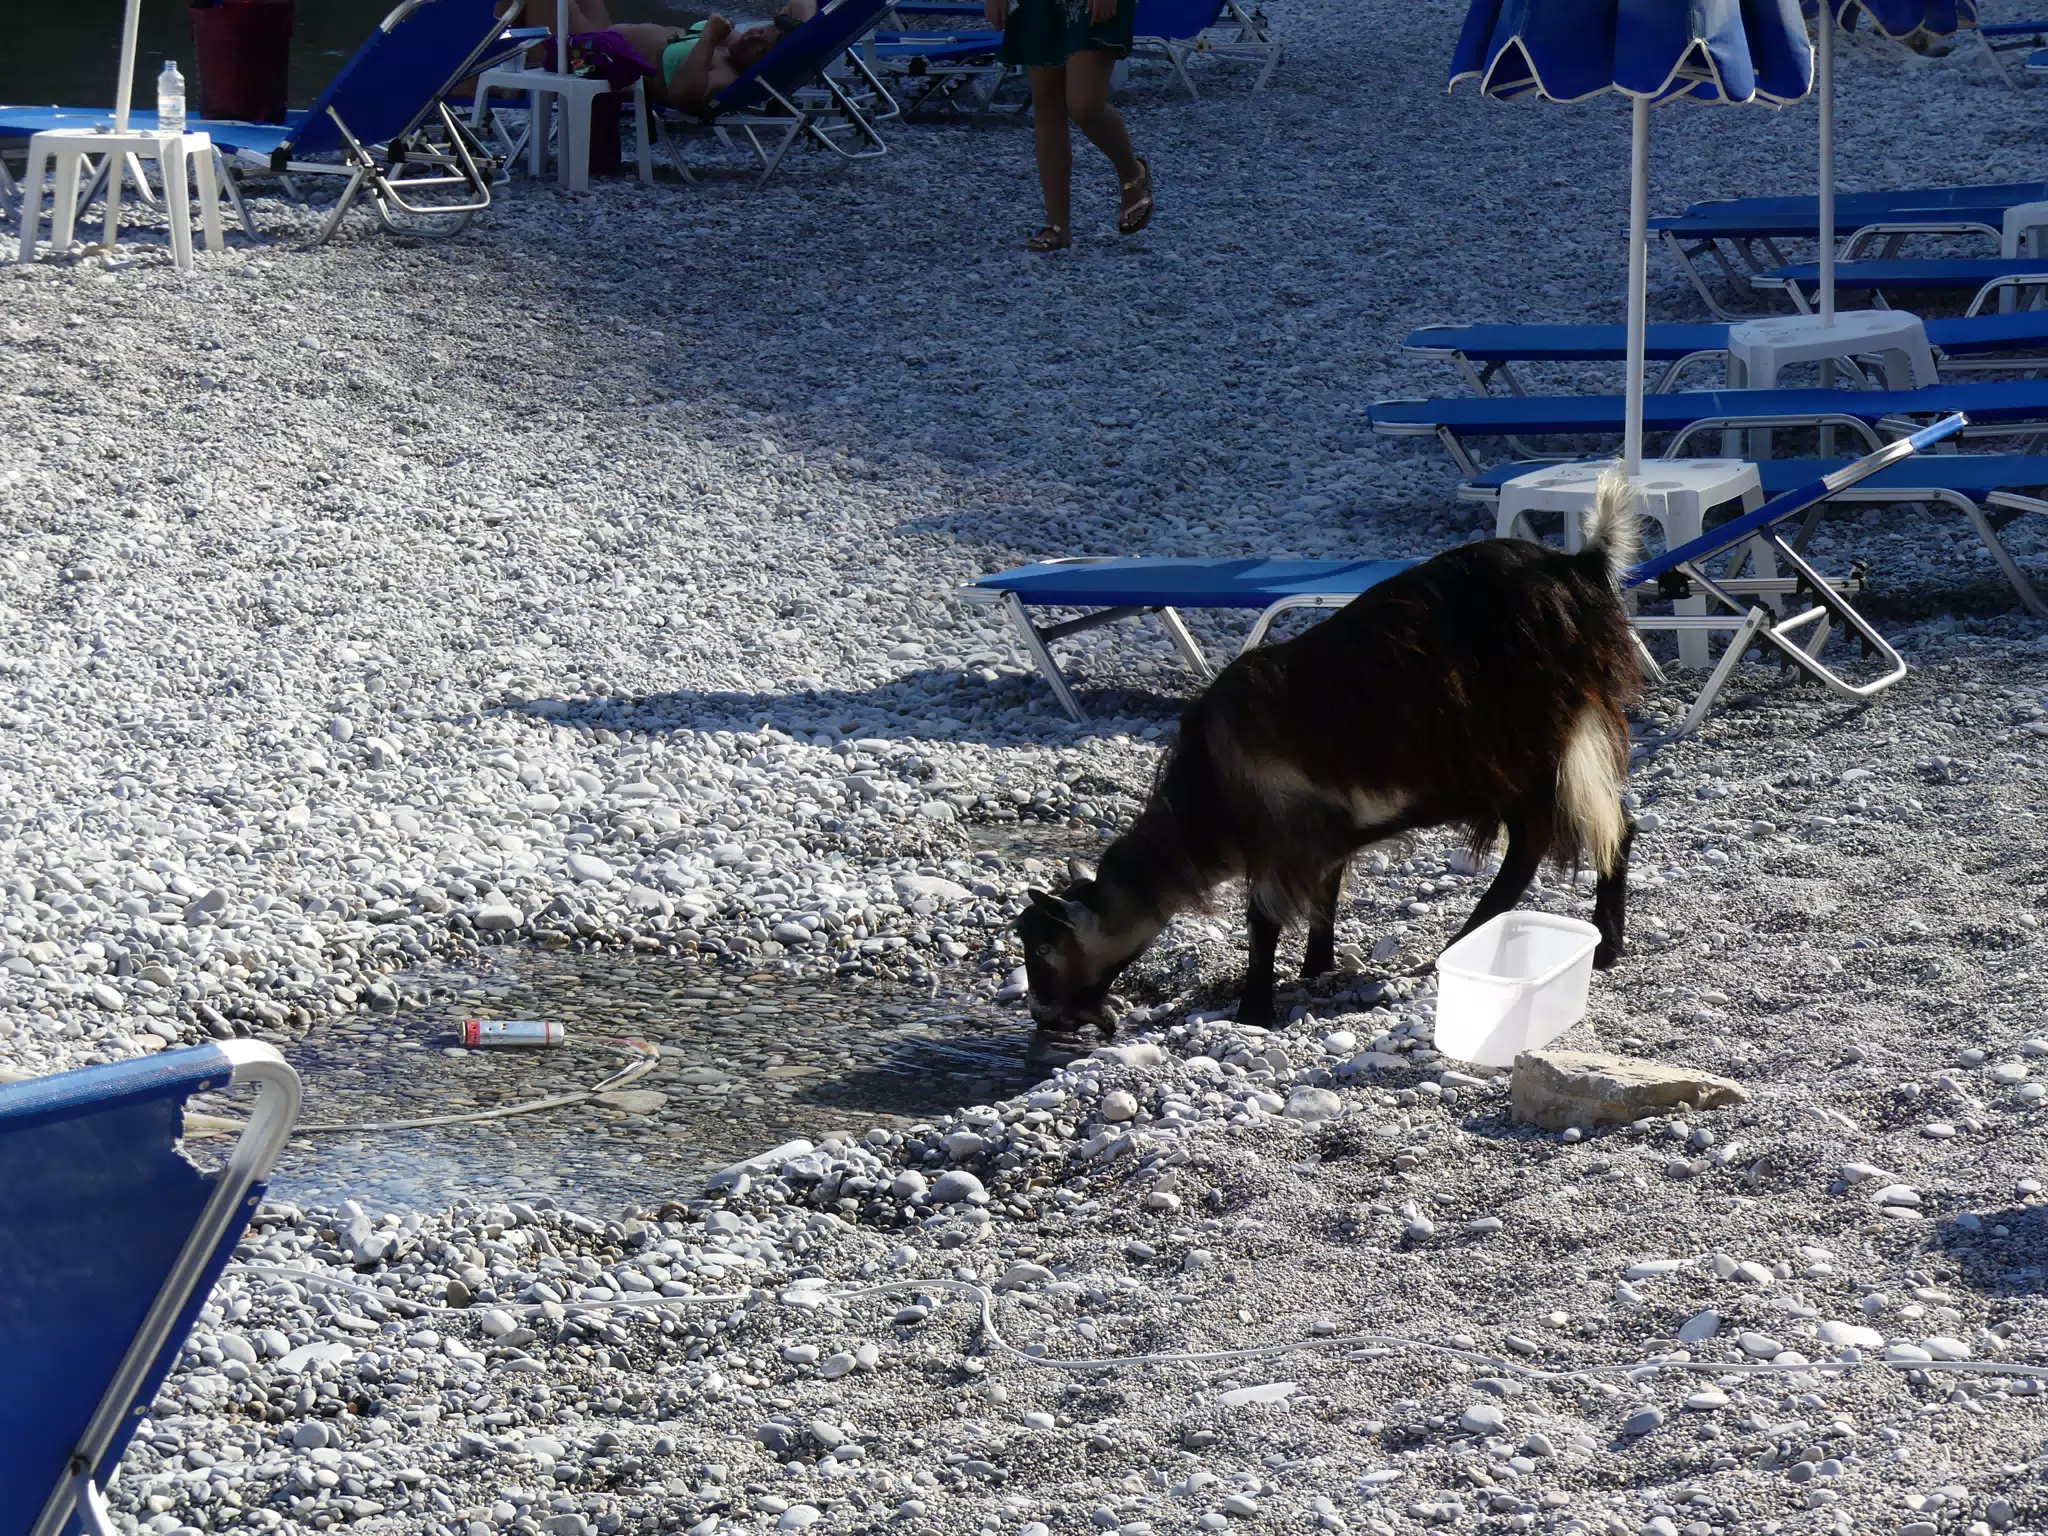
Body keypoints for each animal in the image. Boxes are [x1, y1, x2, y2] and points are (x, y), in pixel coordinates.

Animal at [1016, 473, 1644, 1034]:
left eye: (1044, 948)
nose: (1044, 1017)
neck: (1210, 790)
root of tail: (1580, 565)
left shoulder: (1281, 839)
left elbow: (1262, 921)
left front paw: (1254, 1010)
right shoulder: (1328, 833)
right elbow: (1325, 897)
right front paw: (1314, 968)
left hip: (1537, 748)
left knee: (1561, 834)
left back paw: (1569, 944)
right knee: (1598, 826)